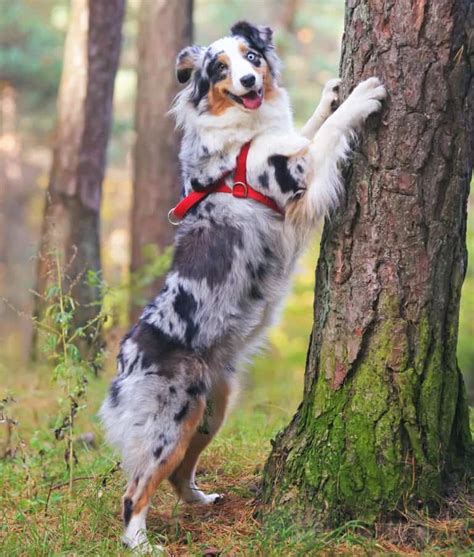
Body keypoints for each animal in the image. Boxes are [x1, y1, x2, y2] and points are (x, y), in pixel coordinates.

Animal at [100, 18, 386, 552]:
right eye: (219, 69)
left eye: (251, 57)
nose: (251, 82)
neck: (245, 131)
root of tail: (126, 354)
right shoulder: (294, 176)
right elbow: (325, 135)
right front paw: (361, 95)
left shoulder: (286, 144)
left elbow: (307, 127)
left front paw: (329, 93)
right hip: (170, 421)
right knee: (134, 490)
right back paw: (141, 542)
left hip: (212, 409)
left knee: (177, 475)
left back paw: (203, 500)